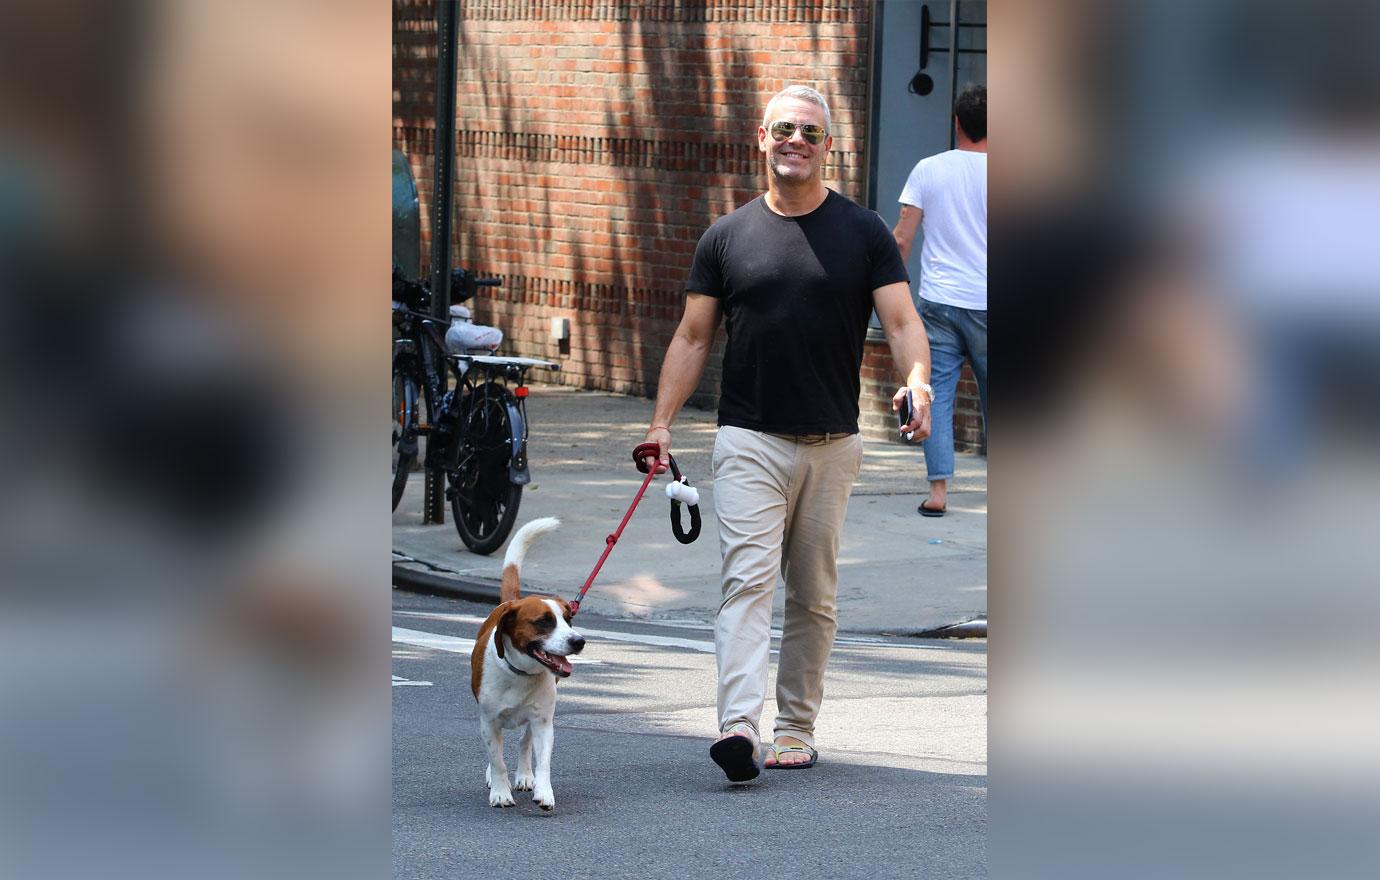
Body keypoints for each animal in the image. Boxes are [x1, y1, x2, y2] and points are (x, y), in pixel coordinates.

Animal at [471, 518, 585, 816]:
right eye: (544, 621)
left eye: (568, 619)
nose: (579, 641)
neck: (520, 673)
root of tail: (510, 602)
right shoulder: (488, 721)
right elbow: (497, 761)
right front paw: (500, 792)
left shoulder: (543, 721)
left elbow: (542, 761)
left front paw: (543, 791)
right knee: (496, 753)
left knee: (525, 743)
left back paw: (524, 775)